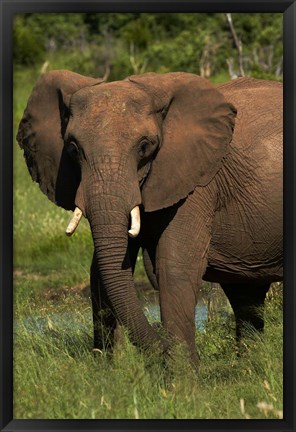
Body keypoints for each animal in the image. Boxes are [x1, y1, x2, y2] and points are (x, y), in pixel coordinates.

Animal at [16, 71, 282, 368]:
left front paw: (182, 377)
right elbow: (100, 272)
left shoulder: (197, 182)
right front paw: (111, 370)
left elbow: (175, 267)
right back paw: (249, 368)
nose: (161, 342)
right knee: (246, 295)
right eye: (73, 148)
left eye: (144, 146)